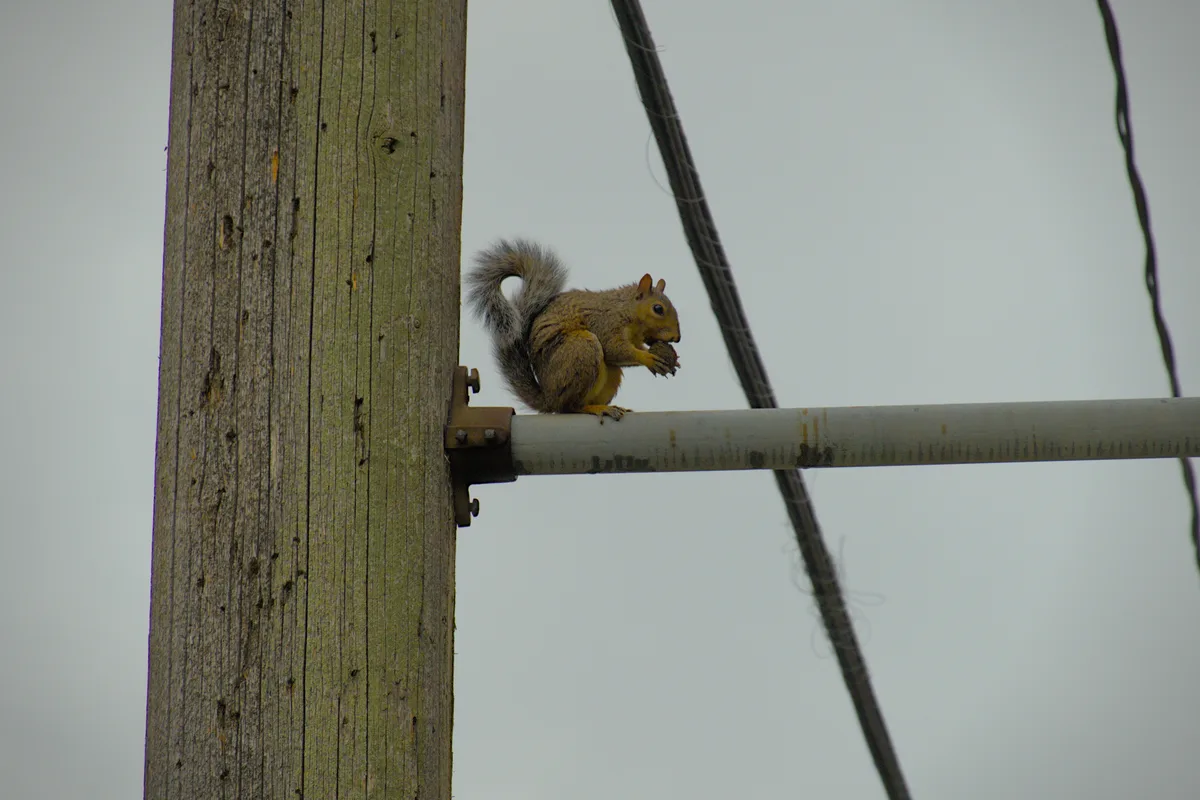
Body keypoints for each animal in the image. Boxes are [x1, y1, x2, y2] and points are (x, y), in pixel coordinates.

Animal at [465, 238, 682, 421]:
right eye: (658, 309)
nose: (677, 338)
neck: (626, 310)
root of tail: (549, 399)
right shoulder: (605, 322)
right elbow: (614, 349)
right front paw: (649, 358)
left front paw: (669, 360)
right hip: (581, 349)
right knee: (569, 407)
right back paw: (596, 408)